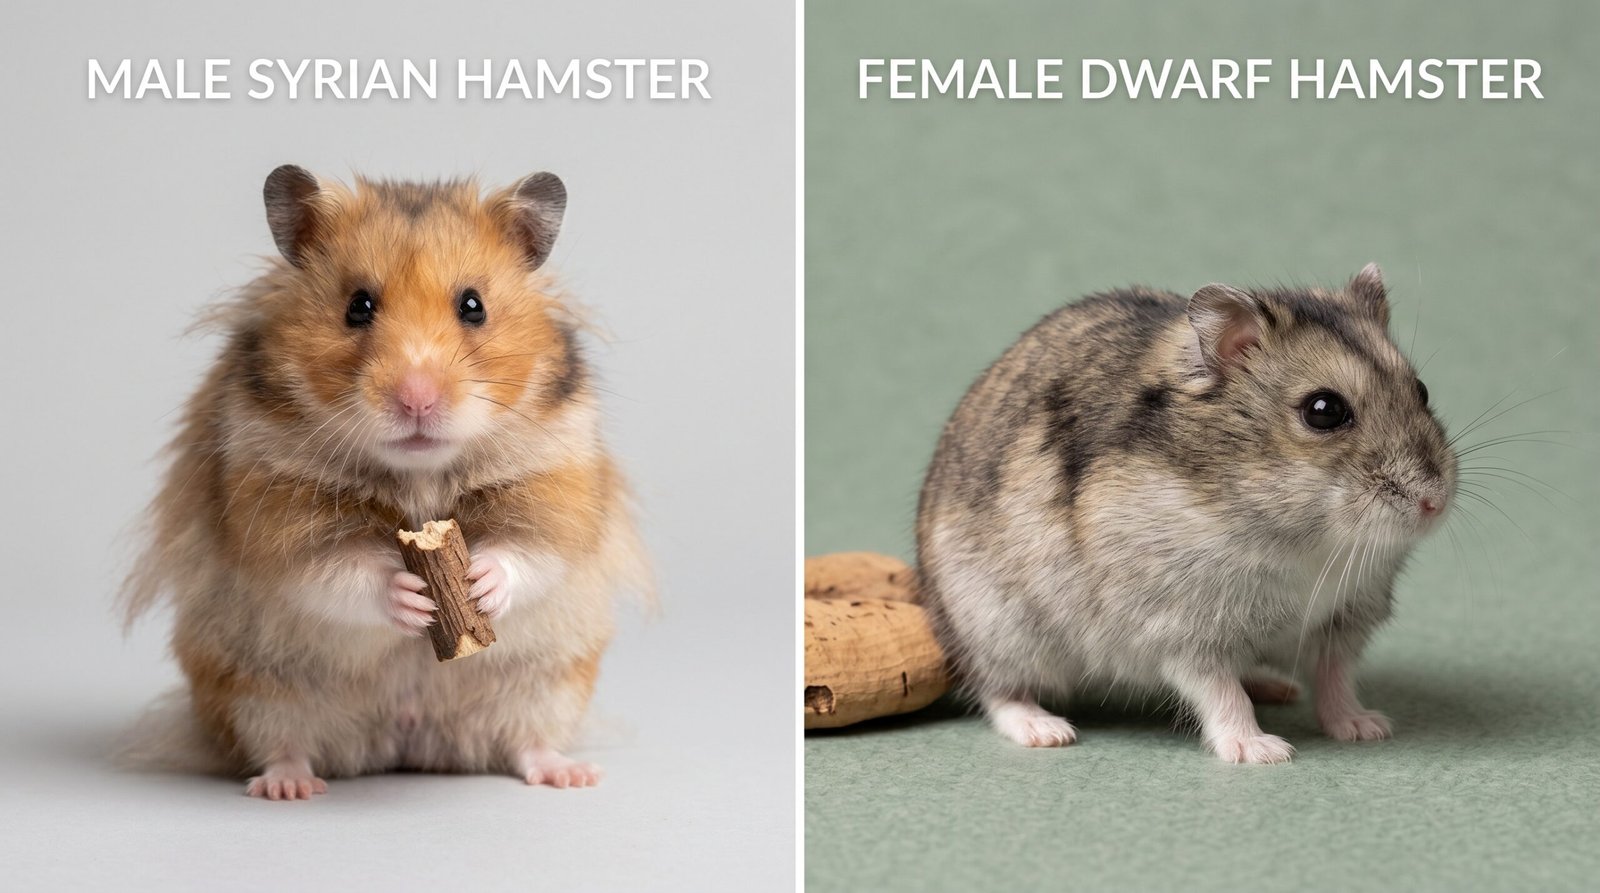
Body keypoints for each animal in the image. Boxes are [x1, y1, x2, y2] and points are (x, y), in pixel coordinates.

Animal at [121, 166, 651, 798]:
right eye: (358, 306)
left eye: (473, 306)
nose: (416, 399)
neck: (418, 473)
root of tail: (408, 737)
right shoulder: (275, 508)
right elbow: (337, 571)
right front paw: (412, 596)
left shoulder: (559, 482)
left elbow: (530, 552)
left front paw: (479, 581)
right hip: (256, 691)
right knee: (282, 745)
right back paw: (289, 787)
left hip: (550, 684)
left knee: (526, 741)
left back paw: (568, 774)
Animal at [915, 265, 1455, 763]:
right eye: (1324, 410)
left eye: (1423, 390)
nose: (1434, 504)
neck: (1303, 542)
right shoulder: (1184, 630)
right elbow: (1220, 692)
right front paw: (1263, 752)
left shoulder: (1342, 620)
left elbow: (1335, 681)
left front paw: (1367, 728)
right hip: (999, 629)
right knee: (997, 690)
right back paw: (1047, 732)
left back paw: (1278, 687)